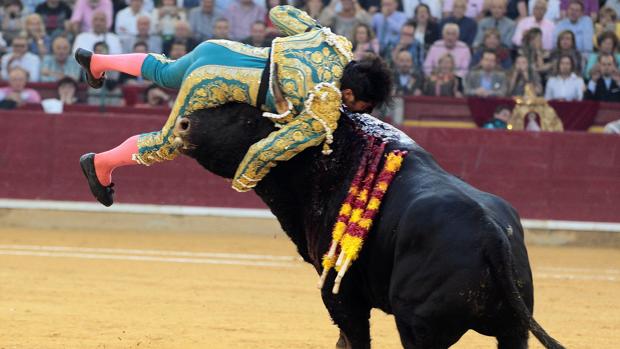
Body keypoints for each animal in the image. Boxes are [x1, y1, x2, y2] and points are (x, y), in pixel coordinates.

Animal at [174, 103, 568, 348]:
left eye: (244, 118)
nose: (183, 124)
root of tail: (490, 234)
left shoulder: (340, 294)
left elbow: (353, 338)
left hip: (419, 328)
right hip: (514, 331)